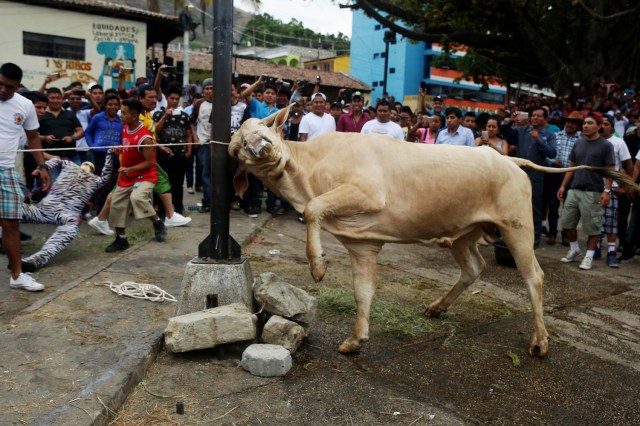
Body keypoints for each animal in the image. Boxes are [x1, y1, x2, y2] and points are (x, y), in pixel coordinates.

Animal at [230, 105, 636, 356]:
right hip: (465, 231)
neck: (306, 173)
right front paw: (355, 339)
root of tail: (507, 158)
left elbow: (315, 208)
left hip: (518, 225)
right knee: (473, 267)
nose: (262, 147)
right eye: (238, 147)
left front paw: (317, 266)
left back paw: (540, 342)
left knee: (533, 275)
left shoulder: (366, 191)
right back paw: (438, 307)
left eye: (263, 127)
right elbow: (363, 293)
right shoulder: (363, 245)